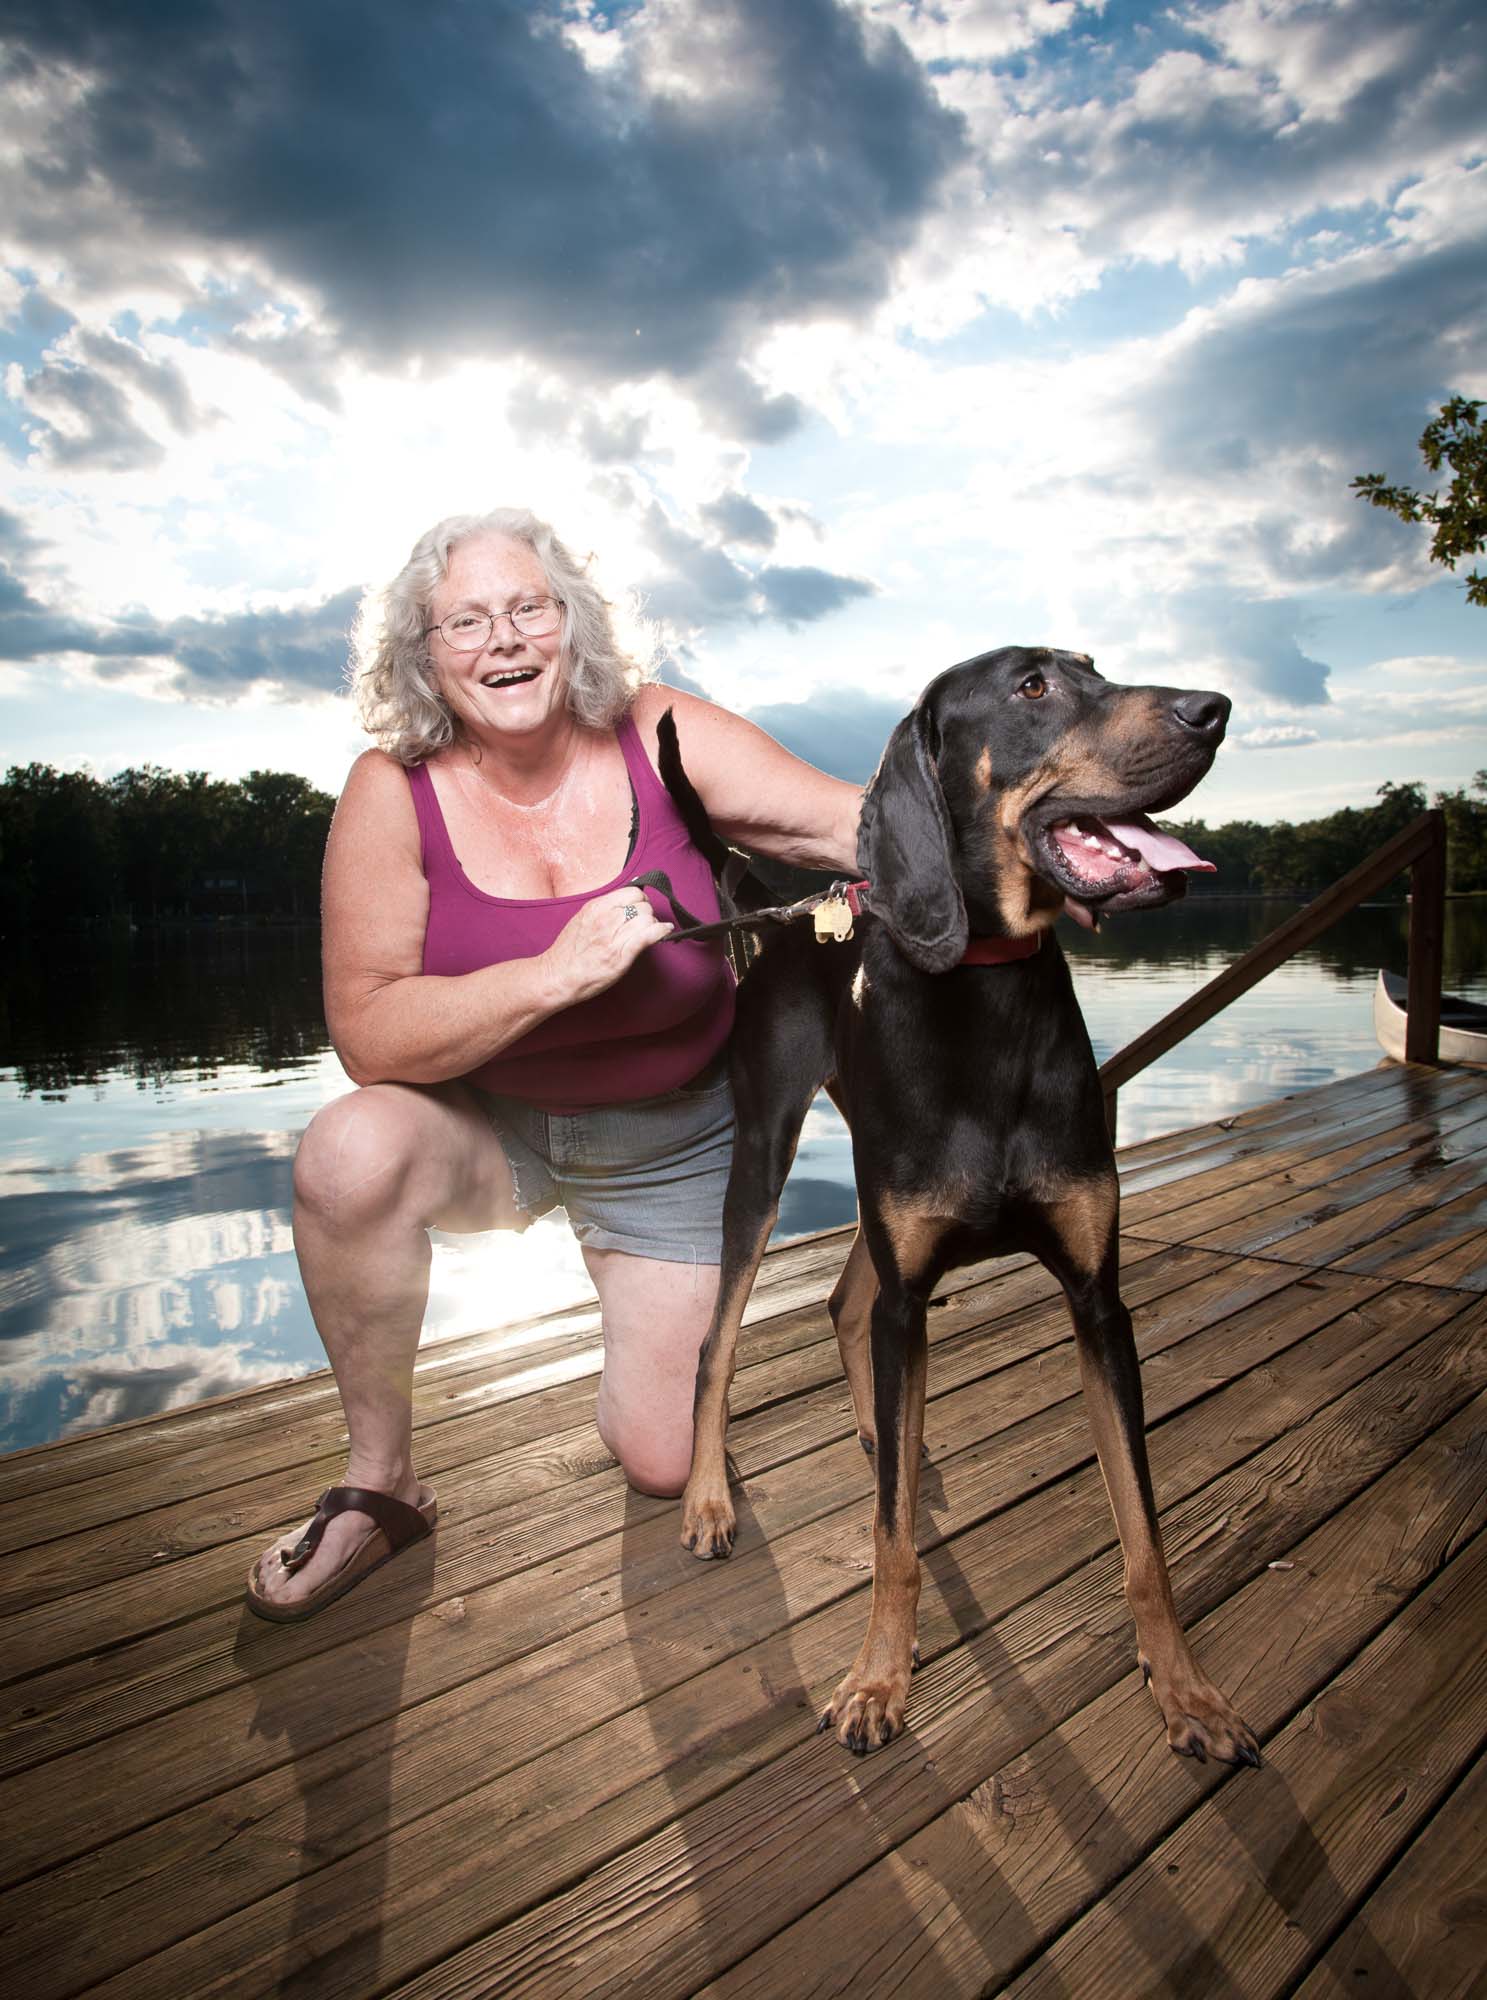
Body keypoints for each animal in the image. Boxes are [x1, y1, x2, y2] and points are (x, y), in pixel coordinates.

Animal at [667, 648, 1263, 1760]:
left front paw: (1186, 1688)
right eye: (1031, 687)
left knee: (845, 1303)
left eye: (1093, 666)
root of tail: (790, 913)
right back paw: (709, 1497)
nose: (1211, 708)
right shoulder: (910, 1276)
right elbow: (889, 1537)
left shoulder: (1094, 1297)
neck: (986, 990)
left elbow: (1142, 1529)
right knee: (716, 1345)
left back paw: (879, 1435)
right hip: (762, 1164)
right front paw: (875, 1678)